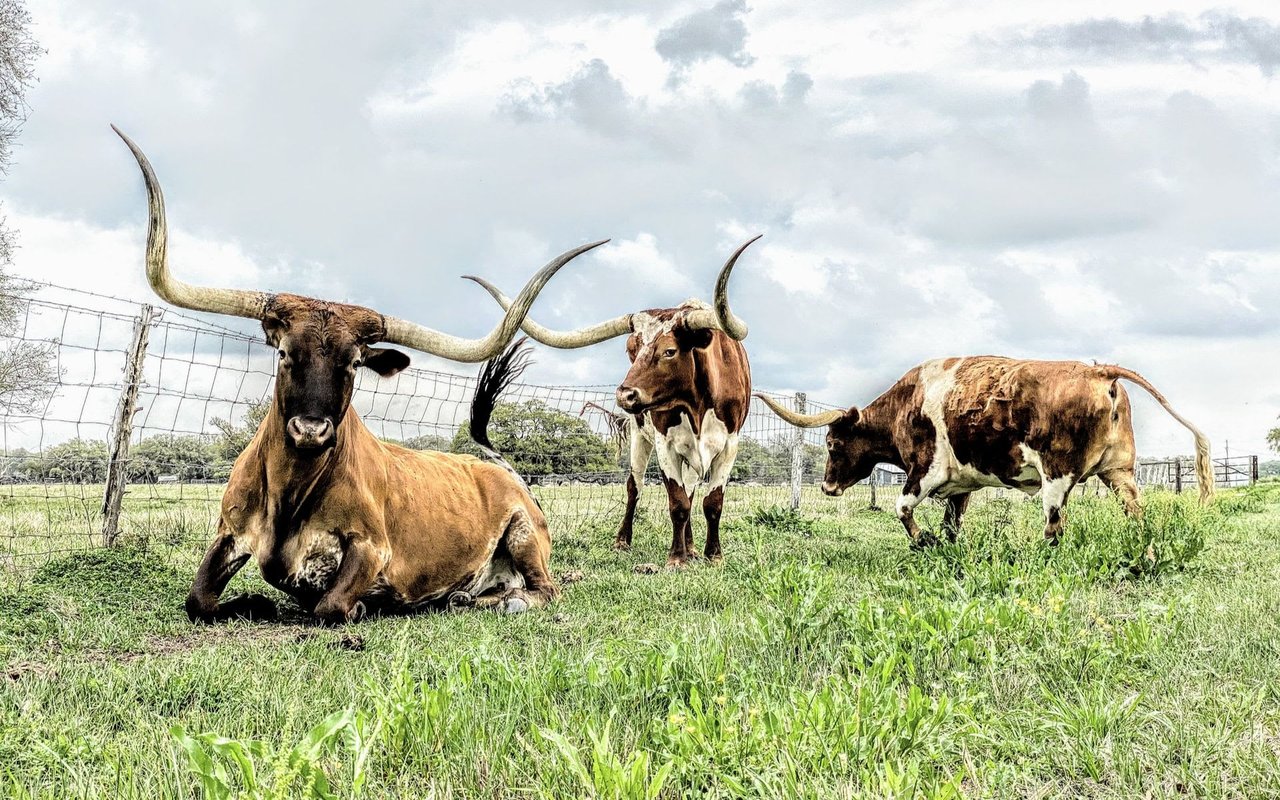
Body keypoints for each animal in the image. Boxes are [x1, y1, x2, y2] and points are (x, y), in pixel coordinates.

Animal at [113, 128, 604, 622]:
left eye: (353, 363)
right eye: (285, 353)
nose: (310, 429)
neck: (289, 496)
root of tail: (508, 476)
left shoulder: (372, 548)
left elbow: (330, 605)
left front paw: (358, 604)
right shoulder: (228, 533)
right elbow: (198, 599)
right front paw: (254, 600)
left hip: (524, 535)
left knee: (543, 589)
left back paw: (503, 599)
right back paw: (462, 596)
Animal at [463, 236, 752, 568]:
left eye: (669, 351)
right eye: (632, 350)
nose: (625, 395)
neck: (698, 405)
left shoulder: (730, 444)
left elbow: (711, 502)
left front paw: (712, 555)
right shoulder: (665, 442)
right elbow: (678, 502)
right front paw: (677, 558)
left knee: (691, 491)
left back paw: (692, 547)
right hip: (641, 435)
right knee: (635, 487)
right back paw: (625, 541)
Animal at [752, 355, 1213, 542]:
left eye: (832, 443)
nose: (827, 487)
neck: (908, 403)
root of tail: (1098, 371)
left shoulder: (925, 472)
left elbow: (902, 508)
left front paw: (923, 542)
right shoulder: (961, 487)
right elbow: (951, 525)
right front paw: (943, 546)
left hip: (1056, 476)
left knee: (1054, 527)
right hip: (1119, 472)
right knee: (1136, 514)